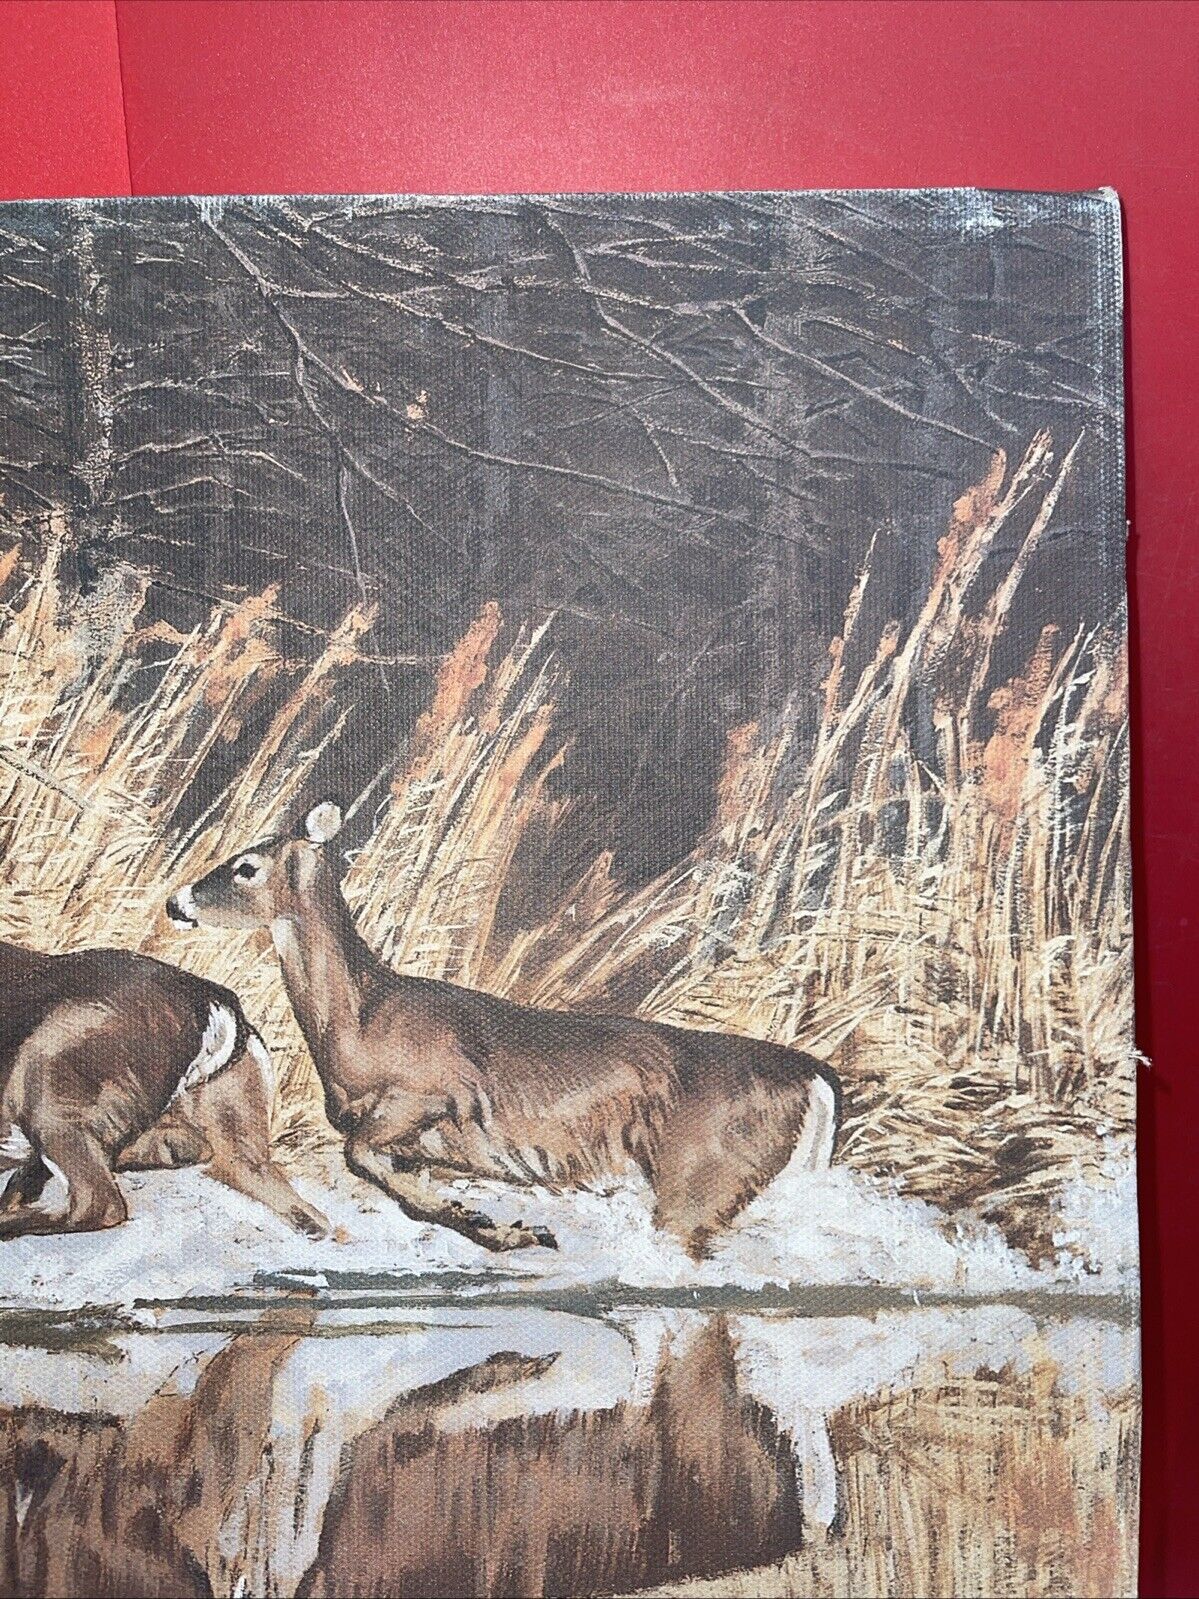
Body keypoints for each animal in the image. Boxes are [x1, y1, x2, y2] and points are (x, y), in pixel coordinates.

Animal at [166, 802, 841, 1258]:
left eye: (245, 866)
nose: (176, 902)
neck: (360, 1020)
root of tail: (817, 1079)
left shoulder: (429, 1092)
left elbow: (358, 1154)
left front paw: (500, 1228)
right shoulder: (418, 1146)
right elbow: (392, 1181)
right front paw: (498, 1227)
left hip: (701, 1175)